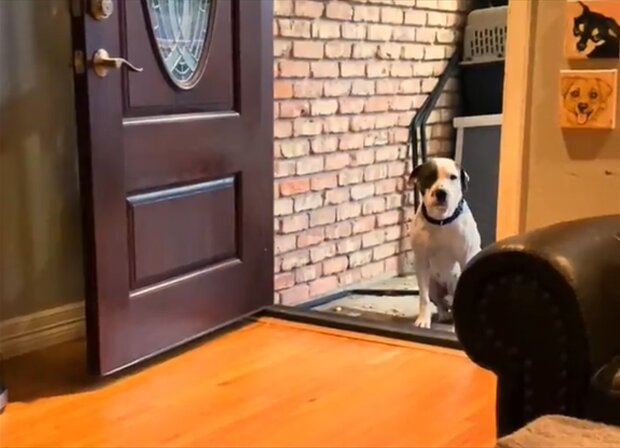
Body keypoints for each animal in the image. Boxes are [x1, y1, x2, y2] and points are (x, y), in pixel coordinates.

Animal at [409, 158, 481, 329]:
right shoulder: (421, 262)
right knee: (440, 302)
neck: (441, 221)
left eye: (453, 177)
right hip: (433, 285)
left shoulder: (466, 257)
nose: (441, 193)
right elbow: (423, 298)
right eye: (429, 176)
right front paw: (423, 320)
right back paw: (443, 315)